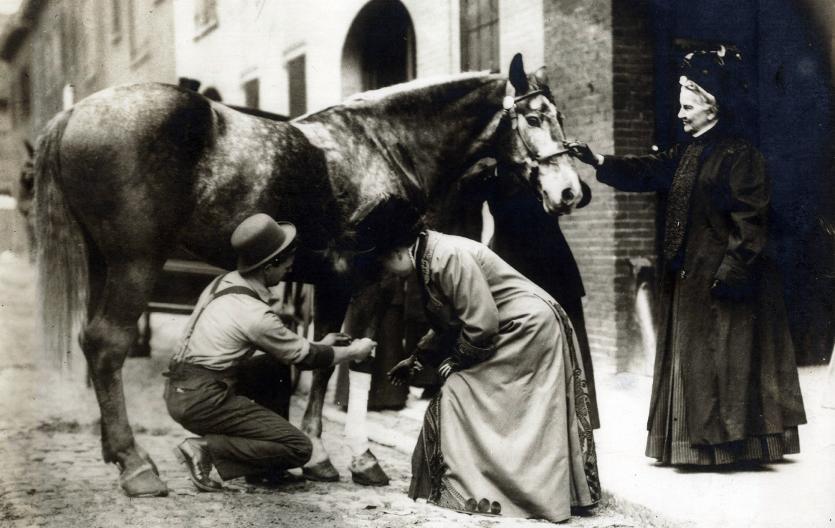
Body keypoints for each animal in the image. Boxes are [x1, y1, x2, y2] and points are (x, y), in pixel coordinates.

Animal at [32, 52, 585, 497]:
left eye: (560, 116)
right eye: (533, 117)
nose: (571, 193)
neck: (385, 143)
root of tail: (73, 113)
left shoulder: (330, 283)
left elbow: (323, 354)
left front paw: (319, 455)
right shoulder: (371, 280)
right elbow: (355, 359)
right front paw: (359, 459)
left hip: (103, 262)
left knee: (93, 343)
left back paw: (119, 453)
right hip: (135, 262)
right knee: (109, 344)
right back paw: (136, 466)